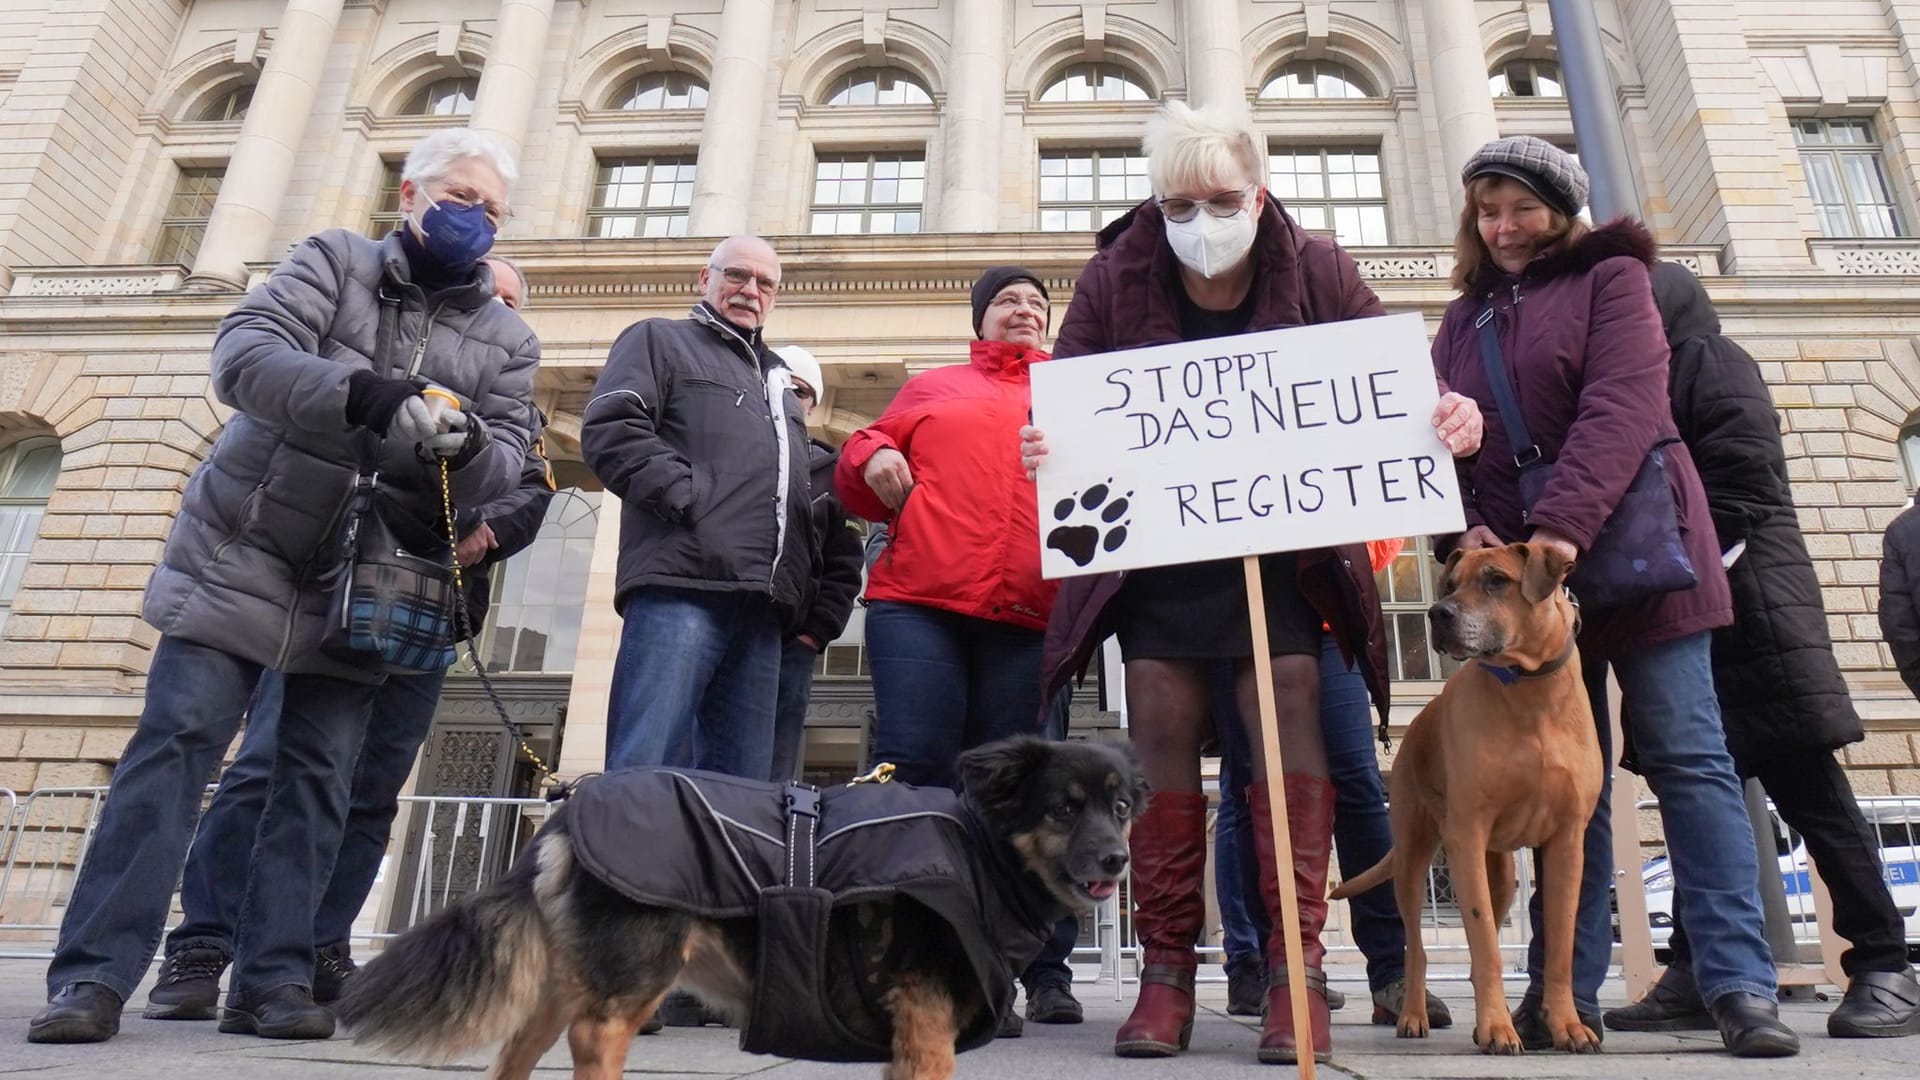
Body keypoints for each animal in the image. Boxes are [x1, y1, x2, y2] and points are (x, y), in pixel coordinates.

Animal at [334, 730, 1136, 1076]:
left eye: (1122, 806)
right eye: (1063, 809)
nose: (1118, 861)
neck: (981, 852)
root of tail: (563, 815)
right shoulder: (924, 1014)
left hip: (575, 976)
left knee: (519, 1051)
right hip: (637, 970)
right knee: (595, 1041)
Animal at [1328, 541, 1597, 1045]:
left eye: (1497, 580)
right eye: (1450, 584)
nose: (1438, 612)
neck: (1529, 689)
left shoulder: (1569, 841)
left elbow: (1560, 945)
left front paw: (1567, 1024)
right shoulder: (1467, 834)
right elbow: (1484, 940)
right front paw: (1495, 1029)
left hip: (1502, 872)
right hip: (1414, 857)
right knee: (1417, 947)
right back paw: (1414, 1014)